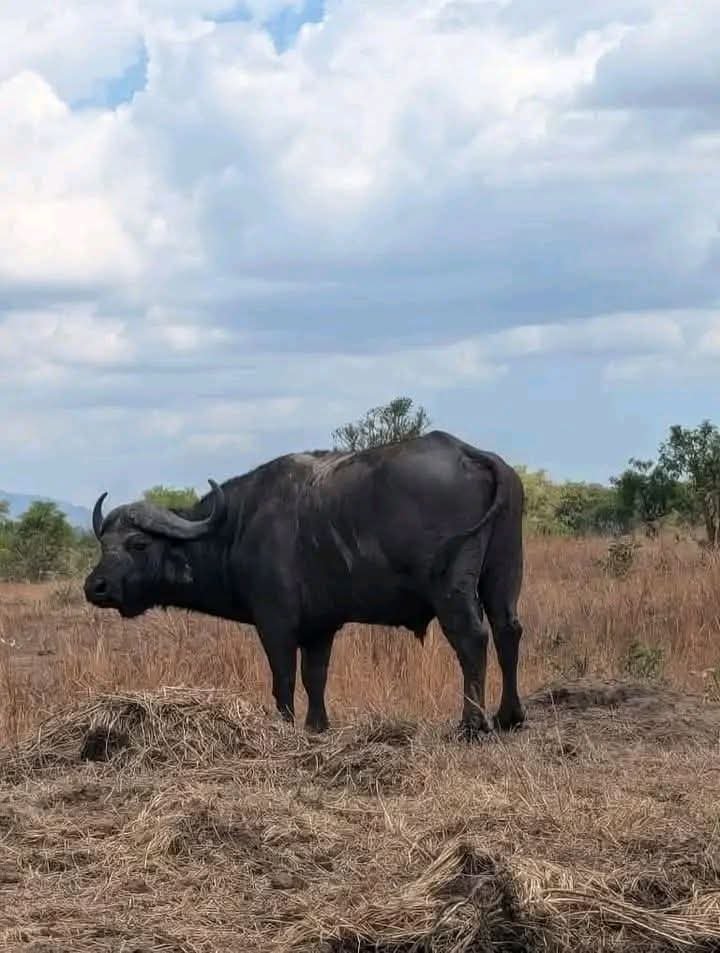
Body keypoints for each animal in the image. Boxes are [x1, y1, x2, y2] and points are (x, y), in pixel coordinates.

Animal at [84, 430, 525, 737]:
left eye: (138, 543)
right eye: (103, 543)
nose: (95, 587)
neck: (237, 527)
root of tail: (471, 454)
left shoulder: (275, 624)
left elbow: (283, 678)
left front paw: (284, 725)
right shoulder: (320, 629)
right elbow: (316, 676)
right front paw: (317, 725)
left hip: (452, 587)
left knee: (471, 638)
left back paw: (472, 723)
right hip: (504, 572)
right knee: (508, 631)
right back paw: (509, 716)